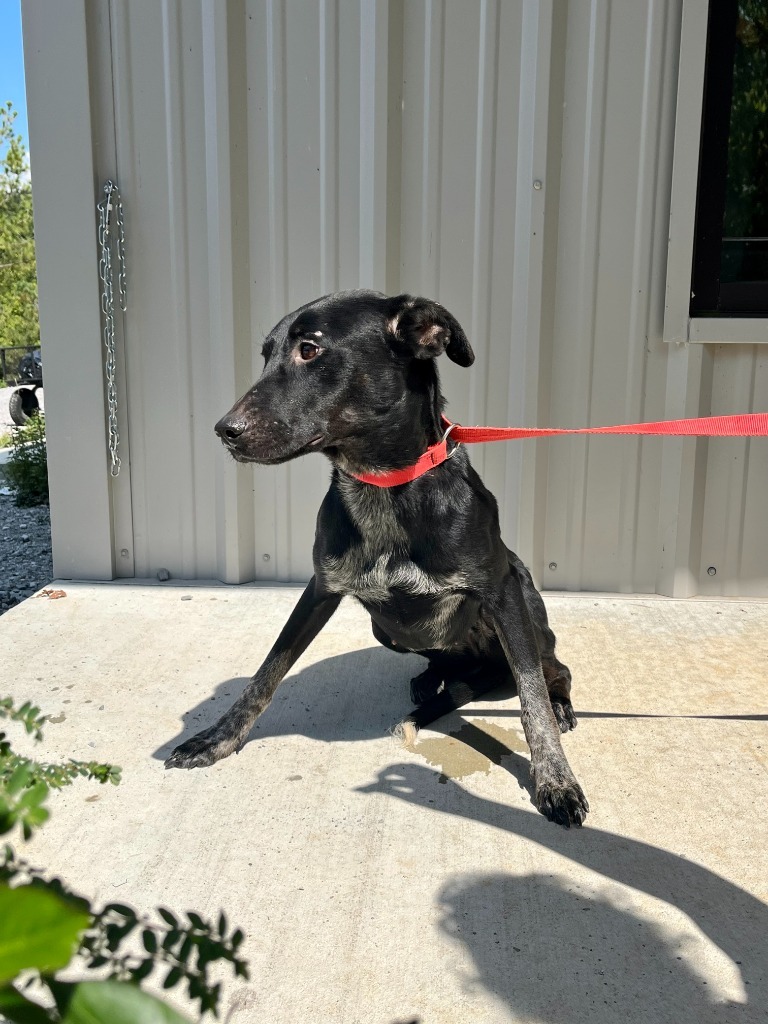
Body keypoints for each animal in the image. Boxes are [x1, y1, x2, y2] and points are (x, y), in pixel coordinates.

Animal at [167, 292, 589, 827]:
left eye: (310, 349)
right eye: (265, 355)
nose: (225, 431)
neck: (382, 487)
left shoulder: (502, 591)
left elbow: (531, 696)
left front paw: (556, 778)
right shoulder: (320, 588)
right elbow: (266, 672)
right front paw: (217, 738)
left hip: (529, 608)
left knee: (553, 668)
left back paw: (559, 702)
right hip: (387, 630)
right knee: (450, 664)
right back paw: (434, 680)